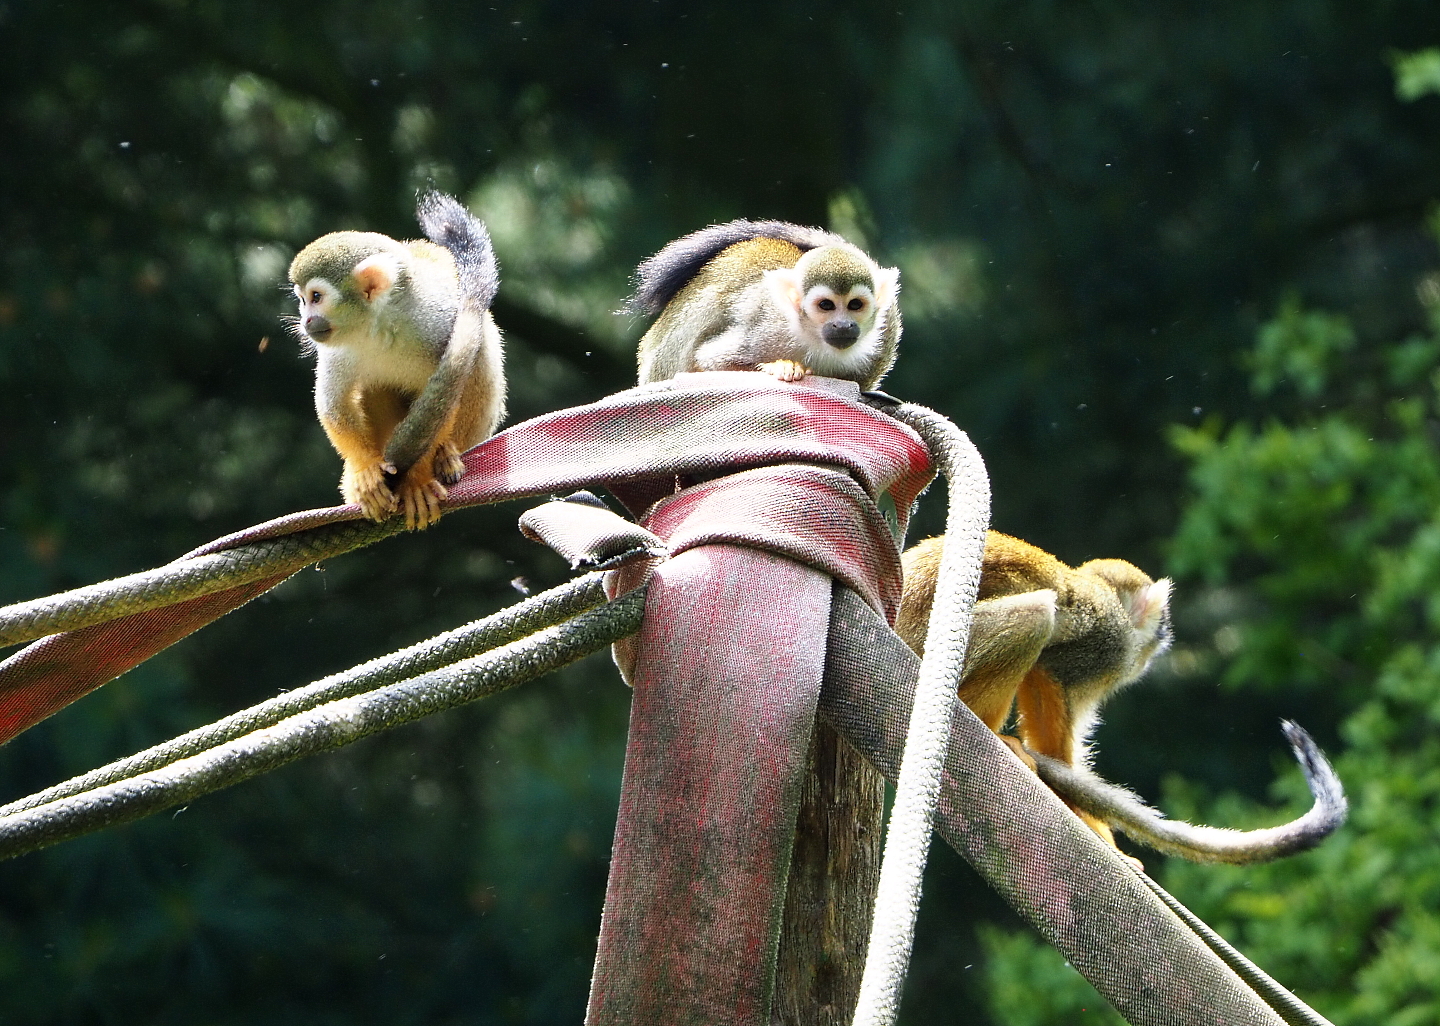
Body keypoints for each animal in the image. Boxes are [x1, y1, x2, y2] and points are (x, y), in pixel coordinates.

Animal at [287, 192, 505, 530]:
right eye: (302, 300)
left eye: (316, 297)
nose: (306, 321)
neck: (380, 324)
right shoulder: (338, 350)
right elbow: (333, 404)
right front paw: (364, 471)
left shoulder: (441, 322)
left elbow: (445, 400)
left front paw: (416, 480)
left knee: (481, 353)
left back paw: (446, 454)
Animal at [628, 220, 901, 390]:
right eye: (826, 305)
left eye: (855, 305)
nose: (843, 325)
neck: (812, 339)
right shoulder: (768, 328)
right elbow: (710, 360)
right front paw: (781, 367)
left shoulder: (872, 355)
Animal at [896, 531, 1172, 850]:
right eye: (1160, 626)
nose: (1165, 637)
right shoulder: (1109, 643)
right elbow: (1048, 674)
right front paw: (1085, 818)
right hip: (930, 643)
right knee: (1037, 615)